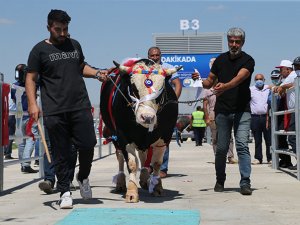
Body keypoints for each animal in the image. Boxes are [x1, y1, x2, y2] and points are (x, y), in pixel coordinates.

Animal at [101, 58, 180, 202]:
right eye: (133, 88)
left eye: (161, 89)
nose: (147, 117)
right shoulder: (123, 136)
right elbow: (132, 164)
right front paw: (132, 193)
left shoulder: (165, 136)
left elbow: (156, 163)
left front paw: (157, 187)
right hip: (112, 133)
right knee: (120, 157)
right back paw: (121, 183)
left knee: (144, 156)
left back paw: (144, 179)